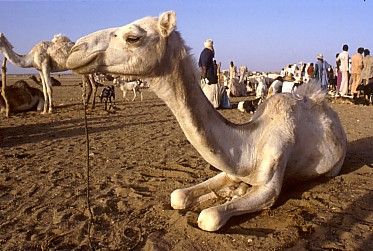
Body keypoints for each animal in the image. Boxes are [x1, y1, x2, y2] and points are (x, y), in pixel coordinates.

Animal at [66, 11, 346, 231]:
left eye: (133, 37)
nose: (74, 50)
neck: (251, 143)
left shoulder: (270, 186)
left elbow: (209, 217)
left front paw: (223, 199)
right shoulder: (230, 169)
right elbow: (178, 196)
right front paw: (224, 192)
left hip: (334, 167)